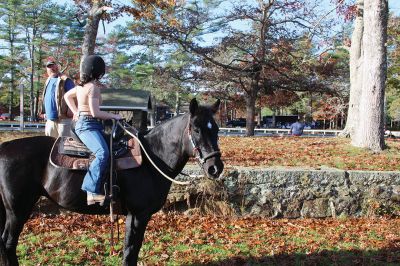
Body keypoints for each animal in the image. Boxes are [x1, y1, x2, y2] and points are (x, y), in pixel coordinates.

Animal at [0, 98, 223, 264]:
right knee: (8, 243)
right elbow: (130, 250)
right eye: (196, 129)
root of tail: (4, 148)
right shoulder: (138, 215)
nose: (215, 167)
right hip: (17, 210)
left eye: (216, 129)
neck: (152, 157)